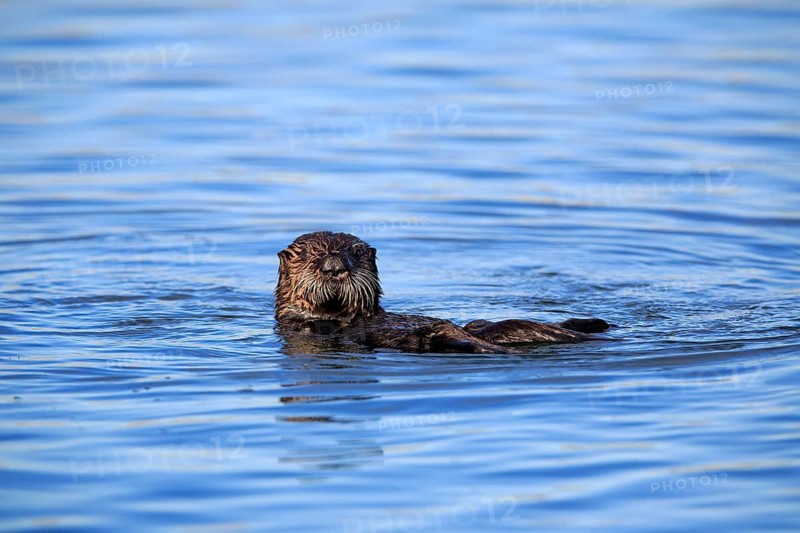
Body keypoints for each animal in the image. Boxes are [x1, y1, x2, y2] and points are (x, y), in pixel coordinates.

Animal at [275, 231, 610, 354]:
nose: (334, 266)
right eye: (313, 256)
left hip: (480, 325)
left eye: (354, 255)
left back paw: (596, 323)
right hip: (446, 338)